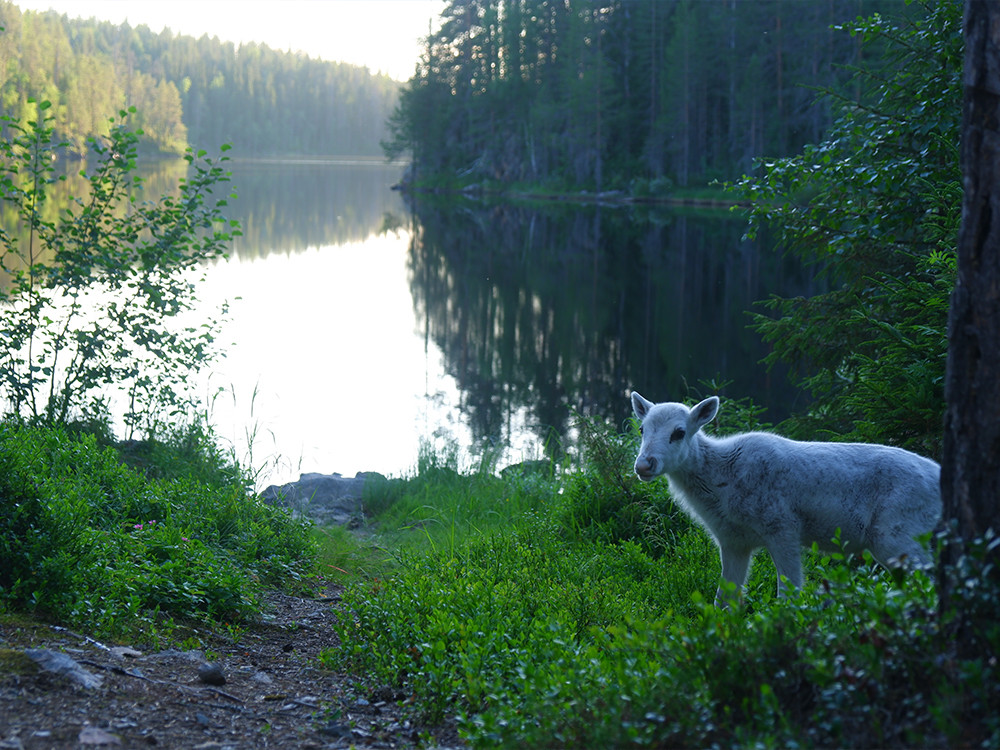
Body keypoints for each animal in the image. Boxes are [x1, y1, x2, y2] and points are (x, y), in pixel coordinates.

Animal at [632, 390, 936, 608]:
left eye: (679, 432)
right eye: (642, 429)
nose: (644, 465)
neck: (719, 488)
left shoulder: (783, 525)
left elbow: (789, 593)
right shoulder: (733, 540)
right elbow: (724, 600)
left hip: (898, 533)